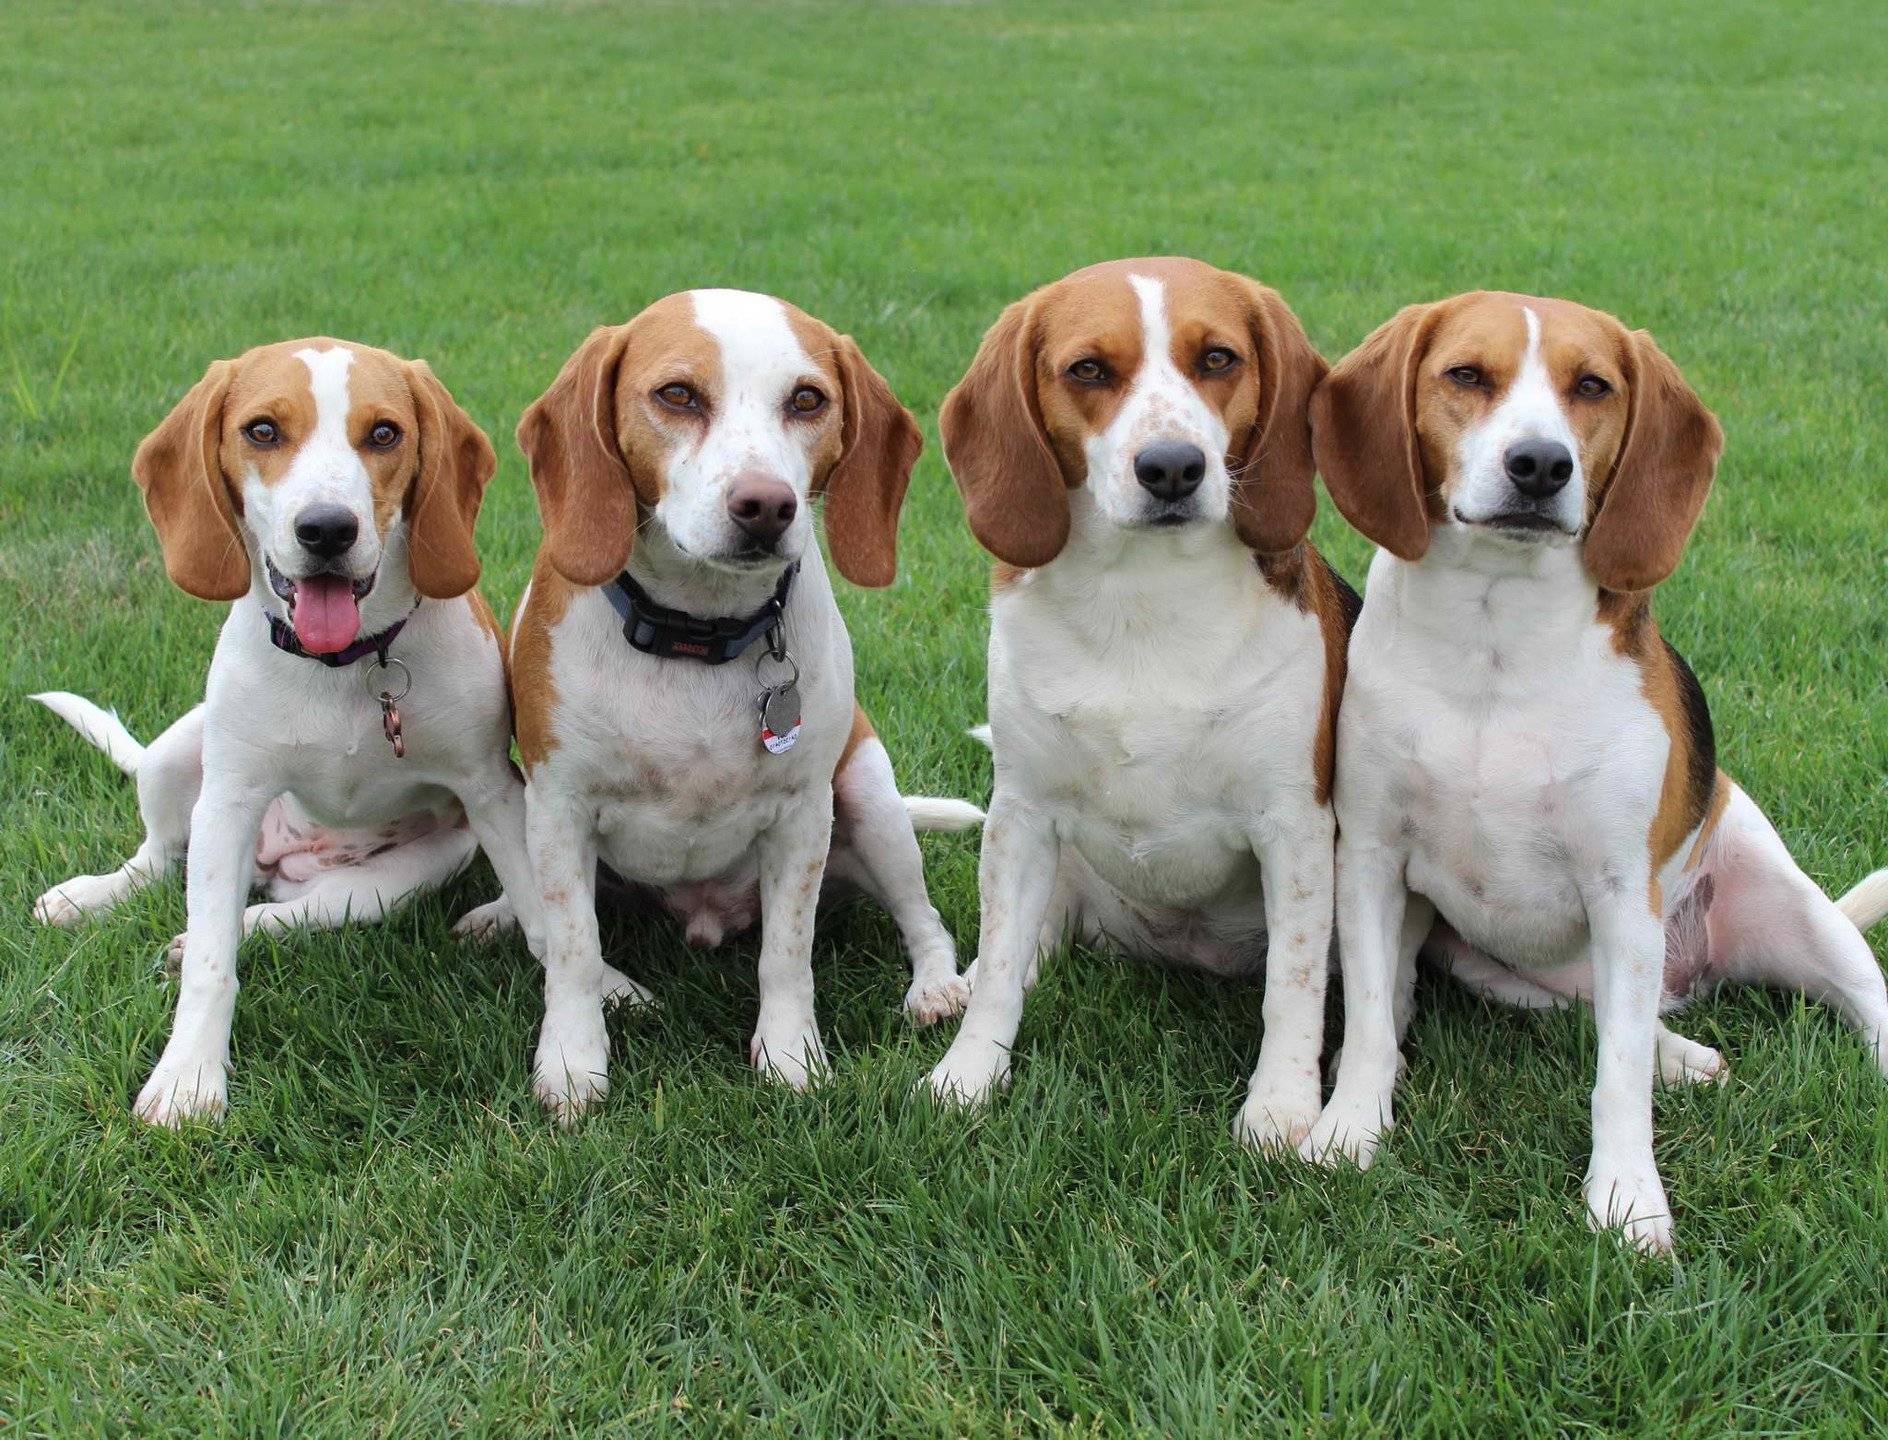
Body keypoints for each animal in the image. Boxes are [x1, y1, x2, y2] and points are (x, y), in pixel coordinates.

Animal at [921, 258, 1351, 1147]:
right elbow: (1002, 970)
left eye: (1218, 359)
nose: (1173, 467)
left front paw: (1281, 1108)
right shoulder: (1022, 812)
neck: (1144, 596)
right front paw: (967, 1078)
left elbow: (1292, 988)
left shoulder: (1294, 826)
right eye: (1088, 369)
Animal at [1306, 292, 1888, 1253]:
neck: (1496, 637)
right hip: (1491, 962)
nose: (1541, 464)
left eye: (1593, 386)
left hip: (1789, 915)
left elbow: (1617, 1077)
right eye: (1467, 375)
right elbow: (1369, 1027)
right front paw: (1349, 1131)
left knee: (1836, 1002)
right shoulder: (1371, 862)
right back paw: (1684, 1055)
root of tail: (1694, 973)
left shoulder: (1621, 890)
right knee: (1622, 1017)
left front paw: (1626, 1200)